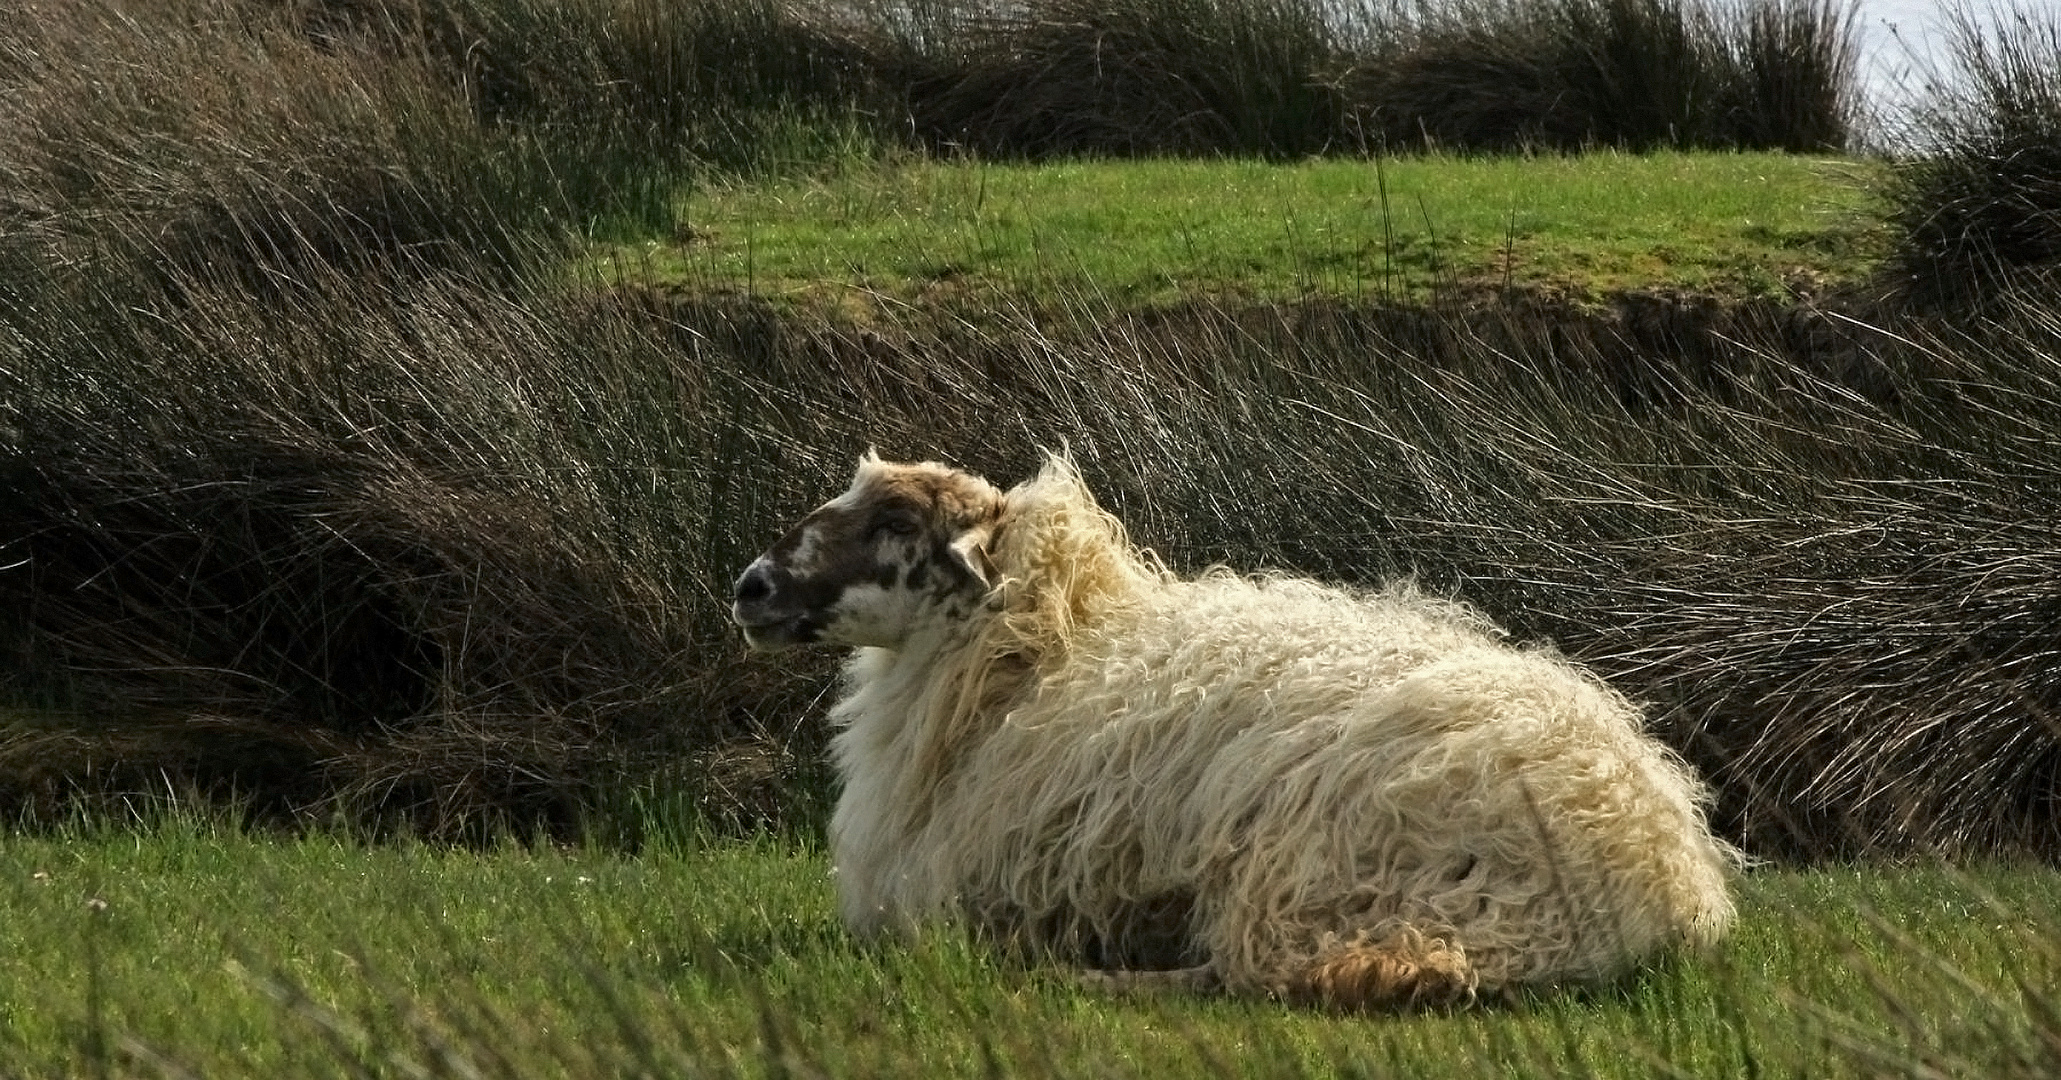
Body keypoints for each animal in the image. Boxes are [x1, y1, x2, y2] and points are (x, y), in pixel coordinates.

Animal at [729, 451, 1739, 1009]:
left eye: (895, 518)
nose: (749, 585)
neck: (1036, 648)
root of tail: (1661, 878)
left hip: (1311, 870)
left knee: (1265, 976)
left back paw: (1081, 975)